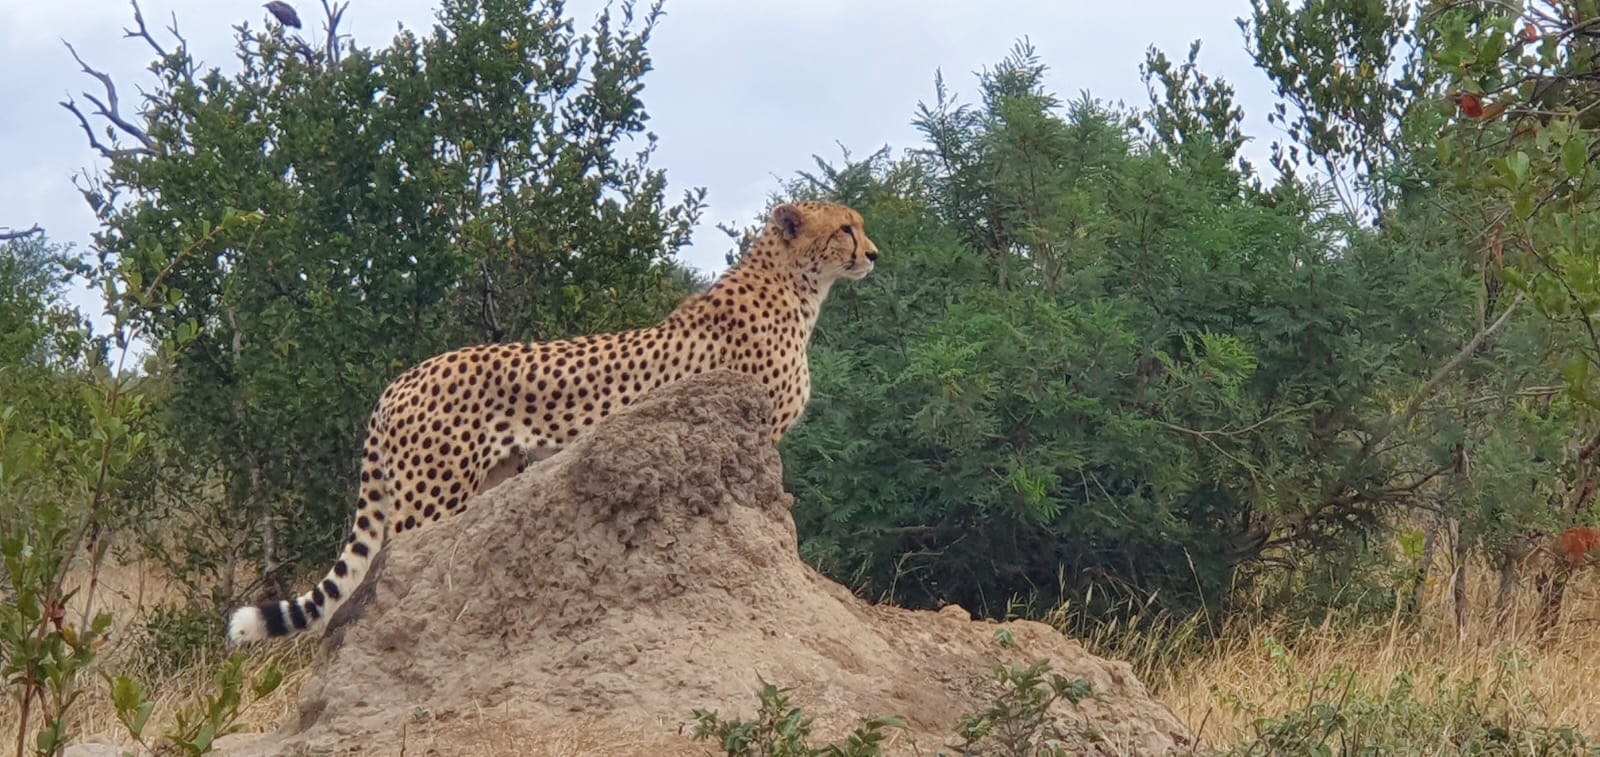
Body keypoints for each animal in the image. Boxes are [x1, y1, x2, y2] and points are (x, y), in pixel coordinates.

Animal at [225, 201, 880, 644]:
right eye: (845, 229)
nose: (873, 254)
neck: (794, 285)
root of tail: (400, 379)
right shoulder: (758, 432)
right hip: (429, 500)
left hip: (482, 485)